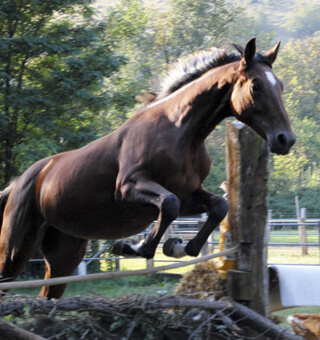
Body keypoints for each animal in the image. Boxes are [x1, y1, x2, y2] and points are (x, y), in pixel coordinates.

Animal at [0, 39, 296, 298]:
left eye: (280, 86)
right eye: (256, 86)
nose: (286, 140)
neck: (182, 132)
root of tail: (17, 184)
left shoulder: (189, 196)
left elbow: (218, 206)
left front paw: (180, 247)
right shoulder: (130, 187)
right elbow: (168, 205)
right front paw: (133, 247)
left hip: (64, 255)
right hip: (15, 249)